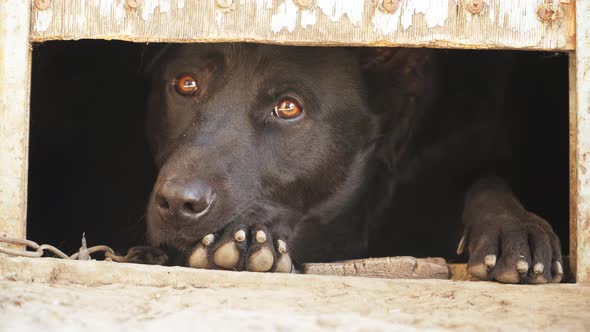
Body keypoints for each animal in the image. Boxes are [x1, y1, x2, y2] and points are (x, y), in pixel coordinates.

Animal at [141, 42, 568, 284]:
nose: (178, 202)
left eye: (288, 107)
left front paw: (516, 228)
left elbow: (488, 180)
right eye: (186, 84)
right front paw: (239, 240)